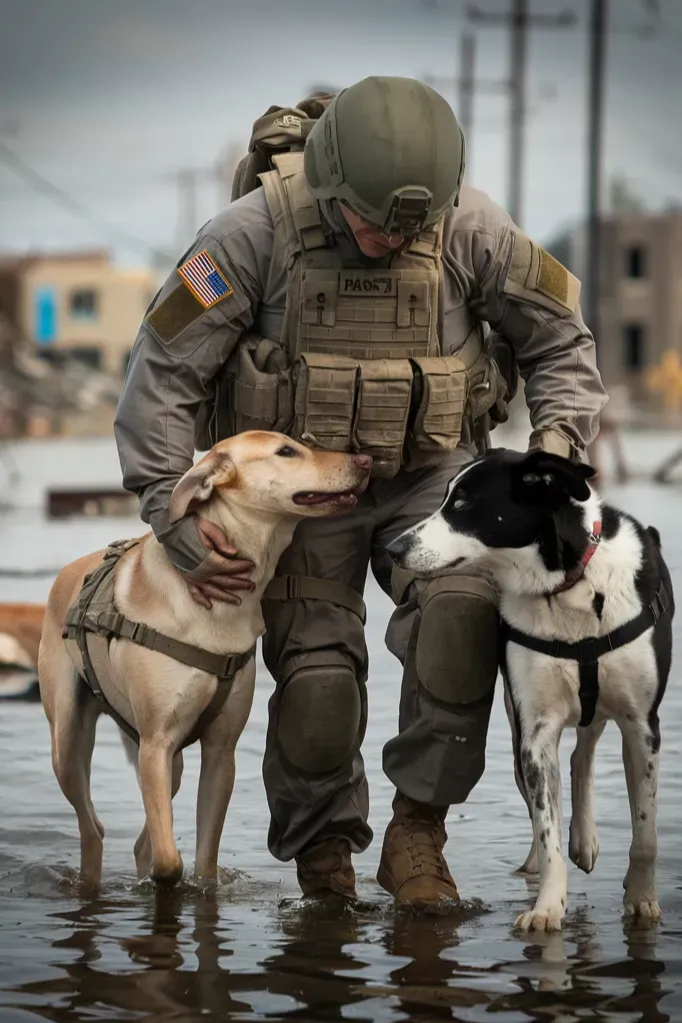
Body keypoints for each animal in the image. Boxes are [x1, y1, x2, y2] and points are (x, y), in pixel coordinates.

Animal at [40, 431, 370, 887]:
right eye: (285, 451)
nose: (366, 461)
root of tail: (69, 572)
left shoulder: (218, 753)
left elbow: (204, 863)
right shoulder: (155, 744)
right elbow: (168, 861)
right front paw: (165, 878)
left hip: (169, 764)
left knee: (137, 840)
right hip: (70, 747)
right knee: (94, 829)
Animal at [386, 452, 674, 932]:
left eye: (462, 505)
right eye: (444, 498)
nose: (394, 549)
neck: (567, 585)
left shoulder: (642, 725)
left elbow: (646, 831)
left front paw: (641, 899)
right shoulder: (534, 732)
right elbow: (546, 828)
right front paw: (547, 907)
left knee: (585, 752)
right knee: (569, 768)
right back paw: (571, 846)